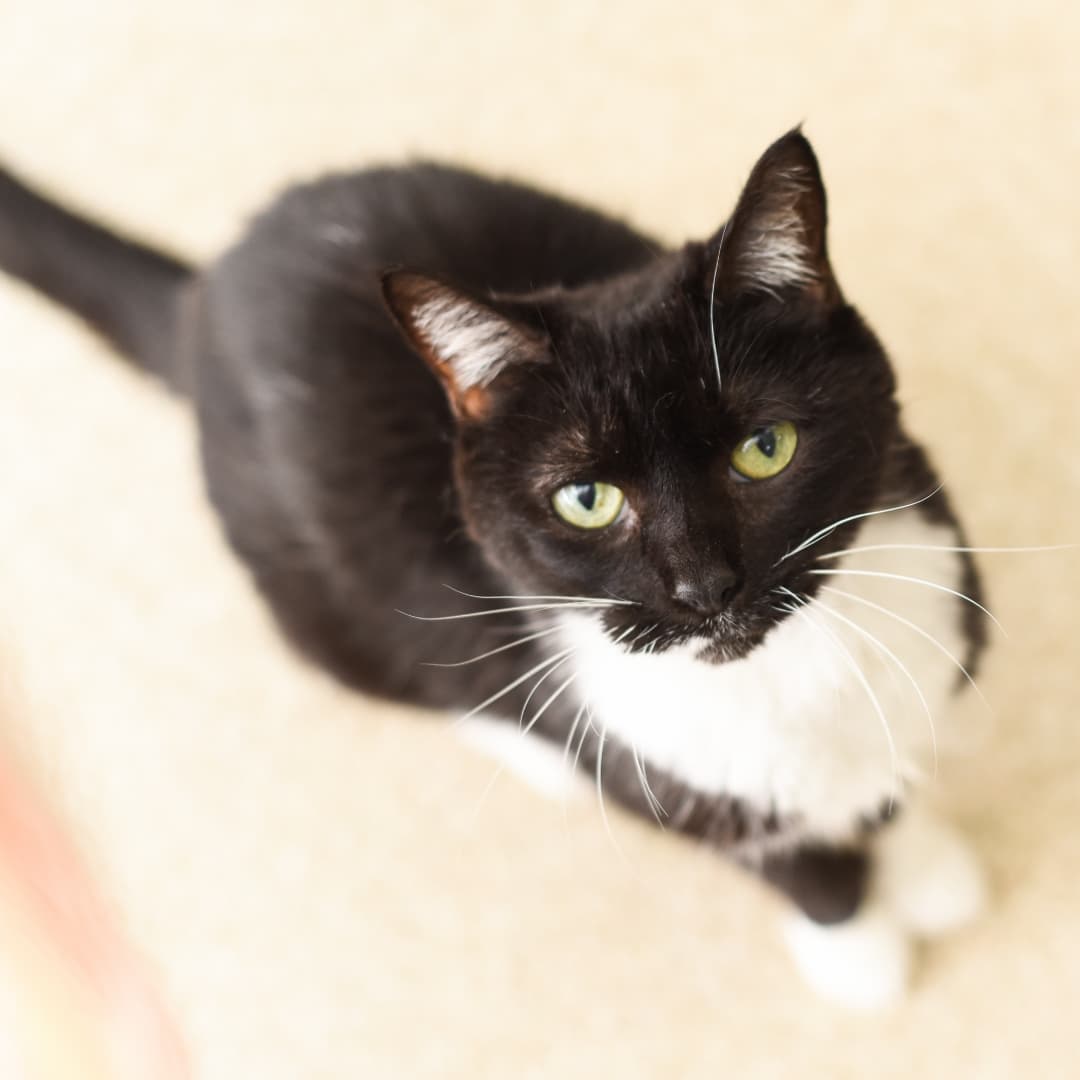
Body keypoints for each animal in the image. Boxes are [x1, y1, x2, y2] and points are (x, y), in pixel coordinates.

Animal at [0, 132, 989, 1002]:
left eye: (765, 448)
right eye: (586, 499)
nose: (704, 588)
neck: (787, 673)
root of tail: (204, 292)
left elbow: (891, 781)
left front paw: (925, 867)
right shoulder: (655, 758)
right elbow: (791, 860)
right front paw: (857, 953)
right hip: (317, 600)